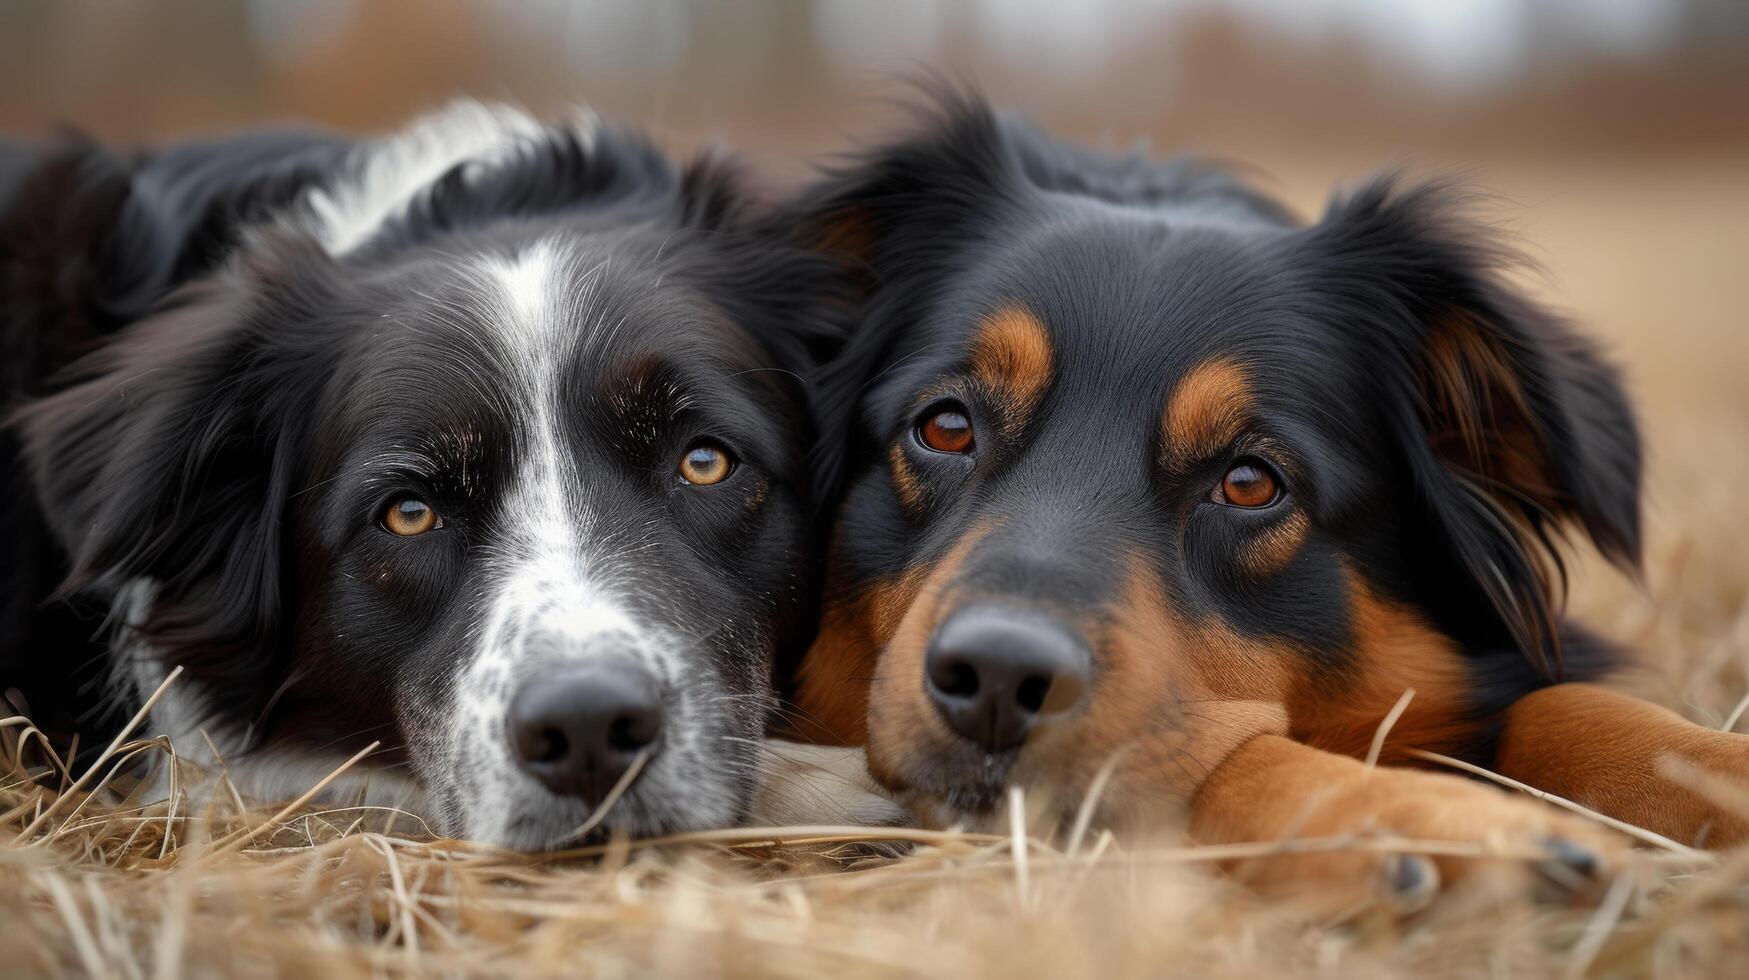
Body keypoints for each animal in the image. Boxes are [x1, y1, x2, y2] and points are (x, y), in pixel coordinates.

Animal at [794, 93, 1749, 903]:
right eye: (946, 427)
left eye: (1250, 481)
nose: (997, 678)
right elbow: (1225, 752)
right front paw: (1424, 820)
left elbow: (1566, 702)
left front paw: (1719, 769)